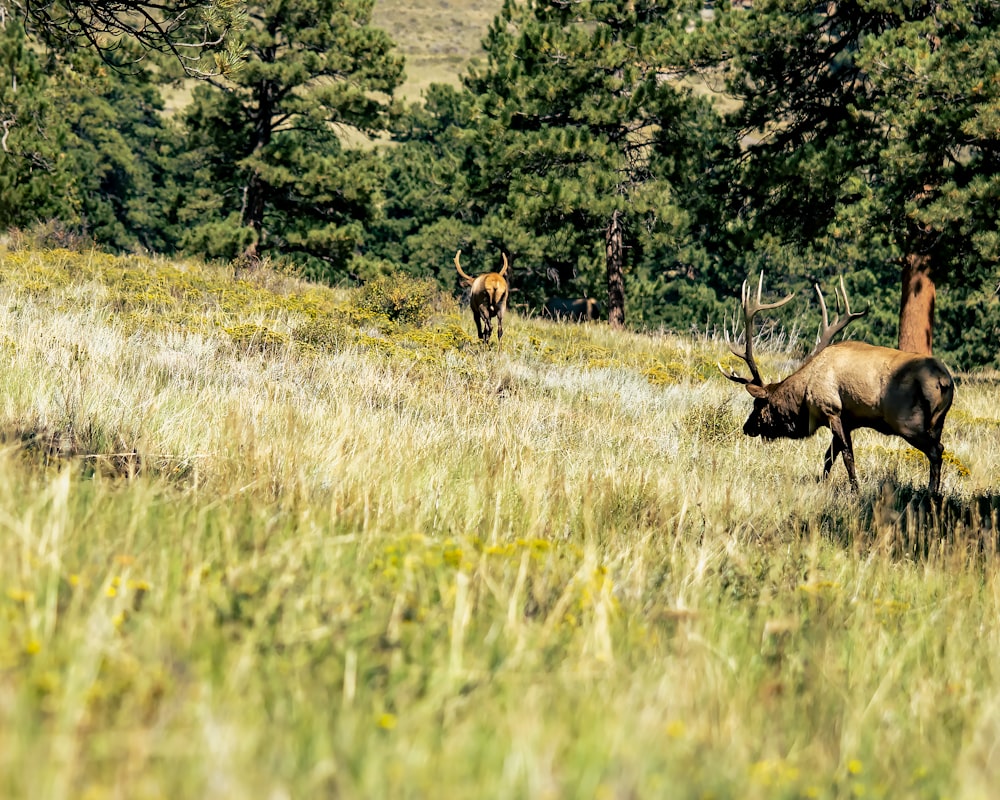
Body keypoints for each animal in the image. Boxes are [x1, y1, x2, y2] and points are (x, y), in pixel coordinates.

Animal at [720, 276, 952, 494]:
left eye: (758, 404)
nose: (746, 427)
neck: (804, 398)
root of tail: (944, 381)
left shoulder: (831, 410)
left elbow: (847, 456)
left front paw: (855, 491)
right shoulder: (848, 419)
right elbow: (829, 455)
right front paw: (822, 483)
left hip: (907, 421)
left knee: (936, 450)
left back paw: (931, 493)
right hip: (938, 422)